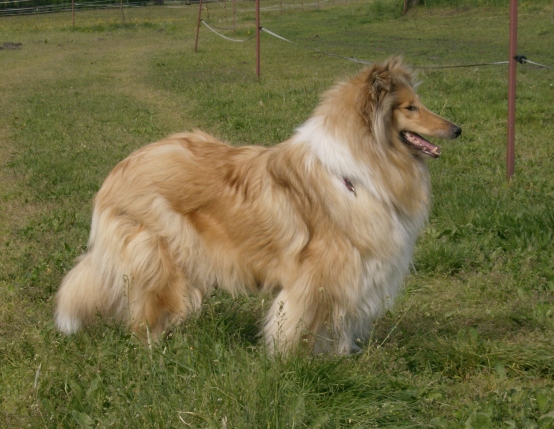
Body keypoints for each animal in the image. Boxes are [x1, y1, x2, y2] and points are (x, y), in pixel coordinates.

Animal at [57, 56, 462, 352]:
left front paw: (340, 360)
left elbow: (339, 325)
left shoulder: (354, 271)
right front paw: (292, 364)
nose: (457, 129)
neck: (356, 170)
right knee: (147, 316)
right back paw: (156, 353)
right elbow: (300, 325)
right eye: (410, 108)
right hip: (163, 260)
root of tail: (118, 171)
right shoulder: (321, 272)